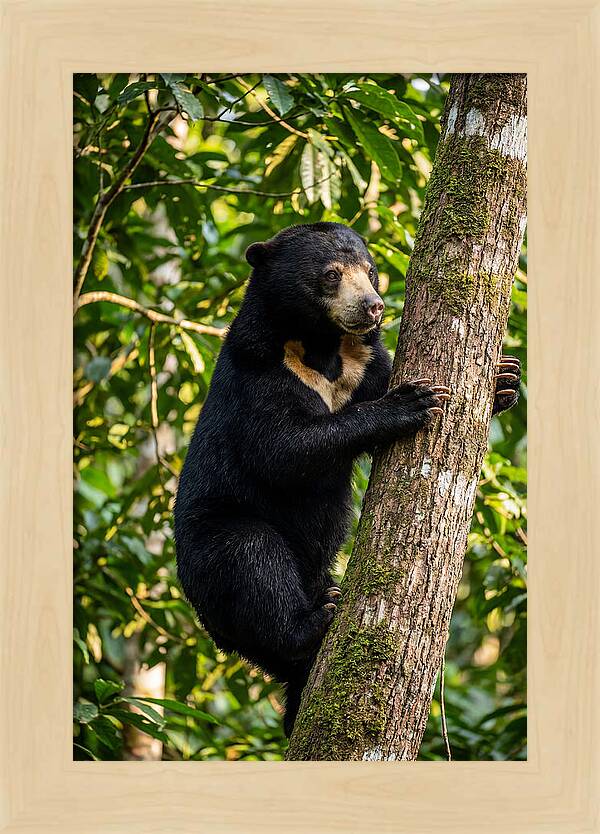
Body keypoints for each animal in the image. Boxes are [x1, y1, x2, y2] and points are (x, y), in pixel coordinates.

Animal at [173, 222, 520, 737]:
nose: (374, 306)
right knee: (251, 558)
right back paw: (316, 619)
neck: (321, 347)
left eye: (372, 271)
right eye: (332, 275)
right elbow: (281, 449)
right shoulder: (258, 372)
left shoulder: (364, 362)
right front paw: (411, 402)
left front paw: (504, 379)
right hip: (211, 546)